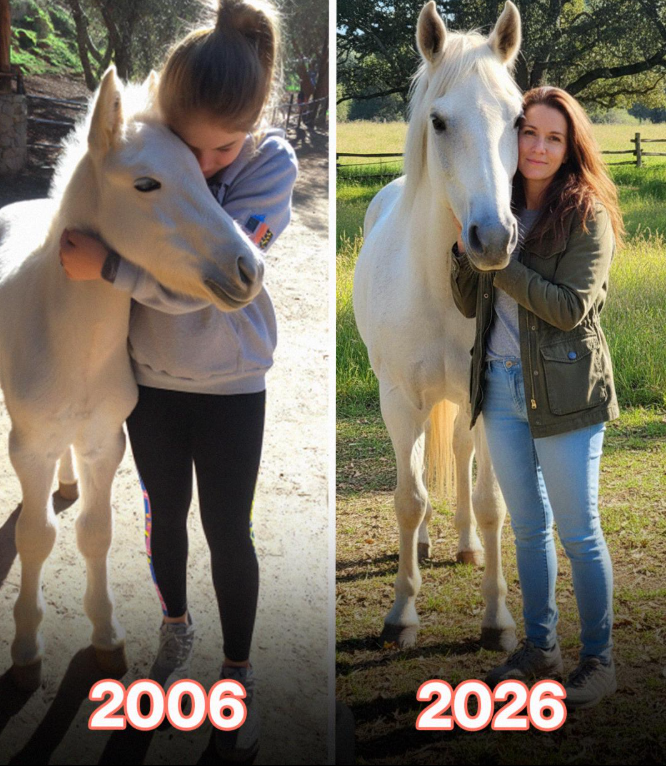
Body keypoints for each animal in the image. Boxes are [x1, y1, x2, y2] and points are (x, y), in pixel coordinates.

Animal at [353, 1, 523, 651]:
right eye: (440, 122)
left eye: (519, 119)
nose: (493, 237)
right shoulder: (400, 398)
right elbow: (408, 499)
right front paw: (402, 613)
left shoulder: (490, 397)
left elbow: (491, 501)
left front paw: (498, 619)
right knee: (424, 463)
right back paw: (425, 546)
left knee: (459, 454)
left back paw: (467, 547)